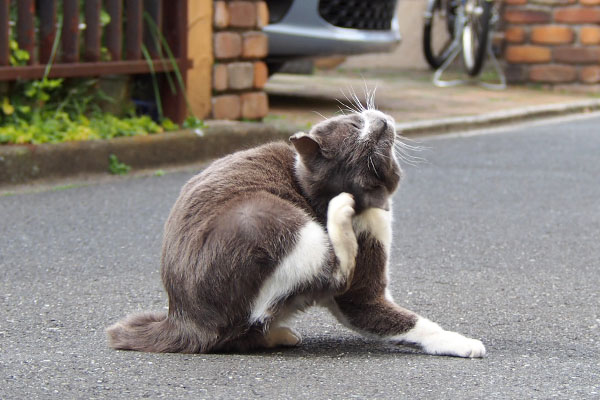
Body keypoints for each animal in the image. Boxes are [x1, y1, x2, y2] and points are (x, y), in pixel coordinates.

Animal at [105, 107, 486, 360]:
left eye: (380, 149)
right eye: (355, 124)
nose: (381, 122)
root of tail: (182, 319)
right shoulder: (361, 289)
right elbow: (405, 319)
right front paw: (462, 342)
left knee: (241, 333)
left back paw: (279, 335)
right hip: (267, 217)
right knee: (333, 274)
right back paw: (339, 214)